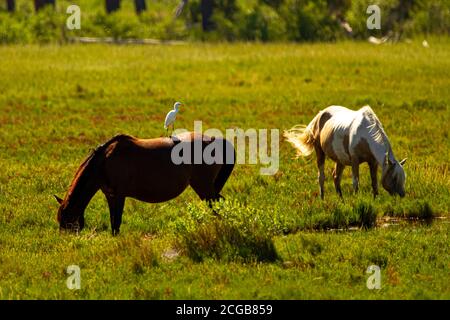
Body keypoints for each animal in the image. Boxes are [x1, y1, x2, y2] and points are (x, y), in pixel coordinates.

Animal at [55, 132, 236, 235]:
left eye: (67, 222)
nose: (70, 243)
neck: (105, 162)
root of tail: (215, 140)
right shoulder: (110, 196)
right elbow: (113, 222)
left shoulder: (119, 195)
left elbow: (117, 222)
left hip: (203, 187)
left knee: (216, 206)